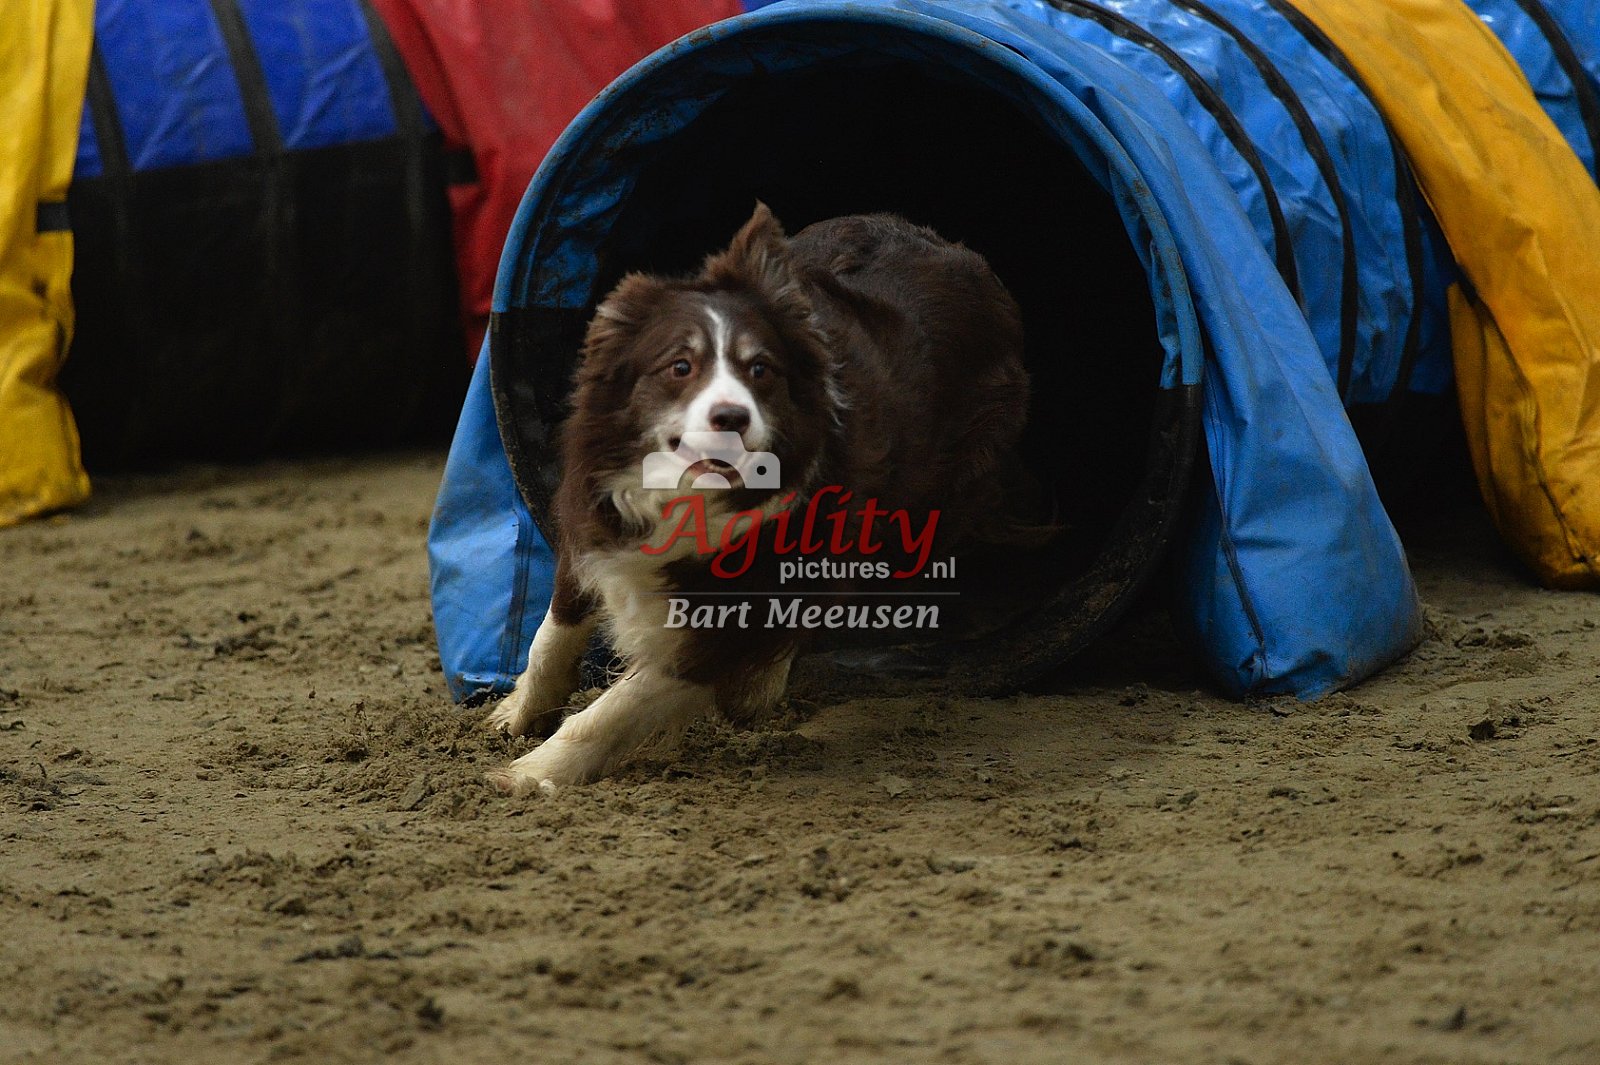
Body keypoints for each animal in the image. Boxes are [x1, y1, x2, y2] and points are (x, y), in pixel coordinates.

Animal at [485, 203, 1031, 793]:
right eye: (681, 366)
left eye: (761, 370)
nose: (732, 417)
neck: (692, 499)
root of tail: (963, 257)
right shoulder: (594, 524)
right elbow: (553, 631)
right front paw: (517, 713)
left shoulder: (739, 613)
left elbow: (621, 704)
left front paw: (531, 773)